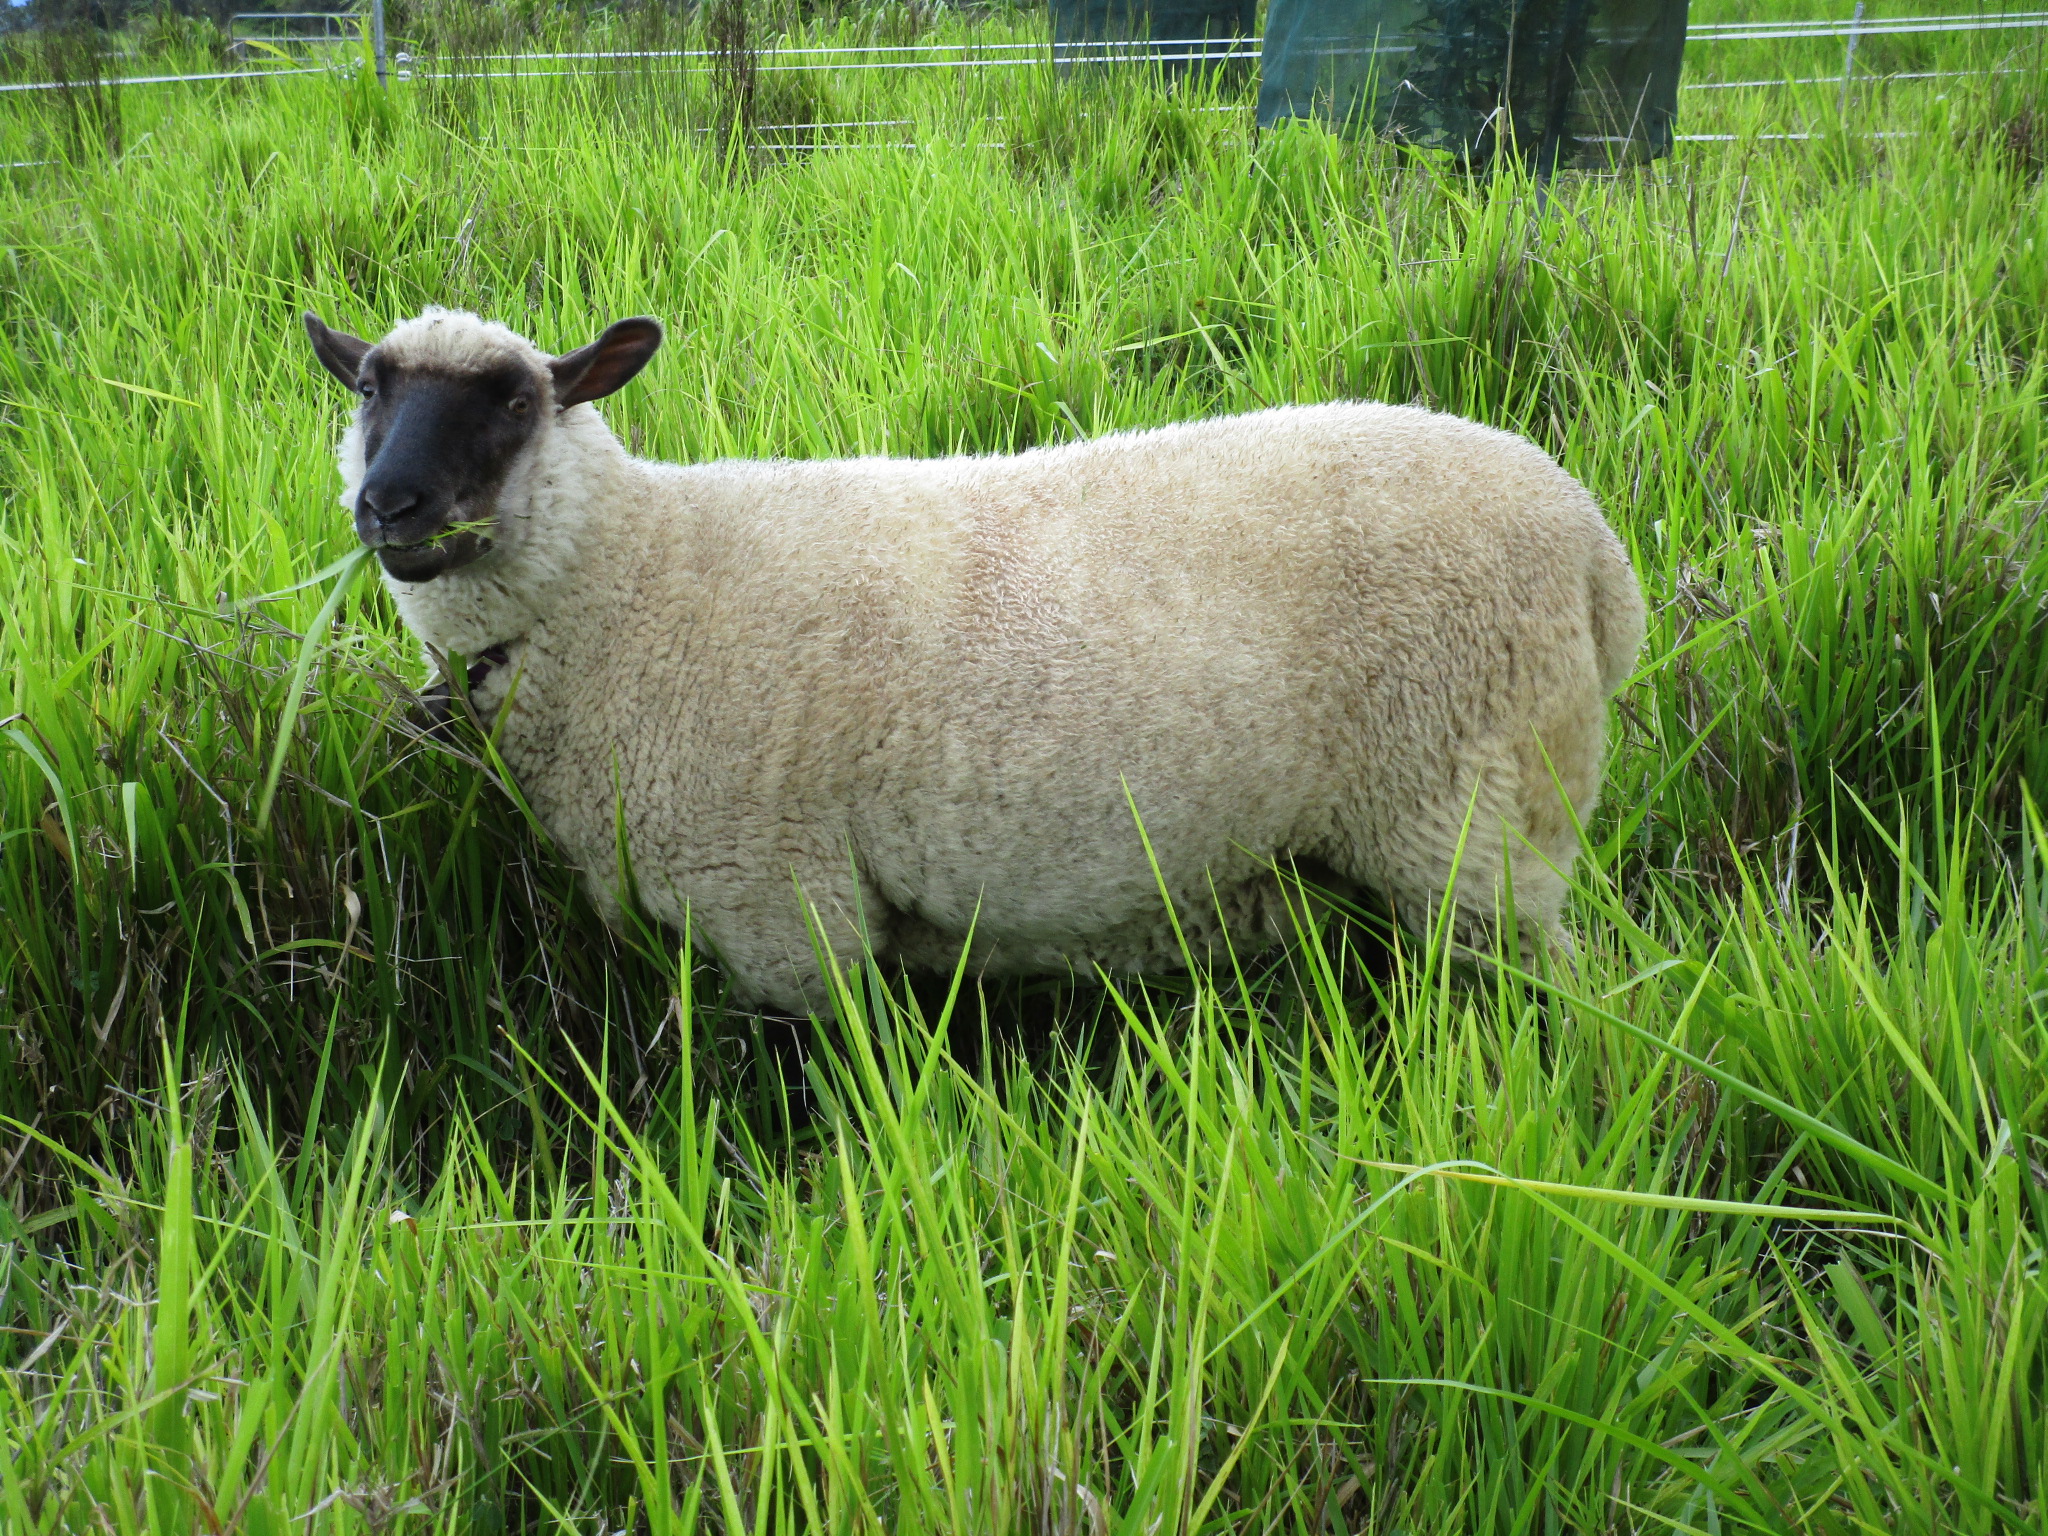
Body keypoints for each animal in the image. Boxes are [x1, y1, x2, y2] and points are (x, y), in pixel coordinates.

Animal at [303, 307, 1646, 1015]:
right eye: (368, 385)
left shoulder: (783, 911)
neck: (632, 583)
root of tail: (1594, 550)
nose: (390, 507)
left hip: (1472, 816)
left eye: (516, 401)